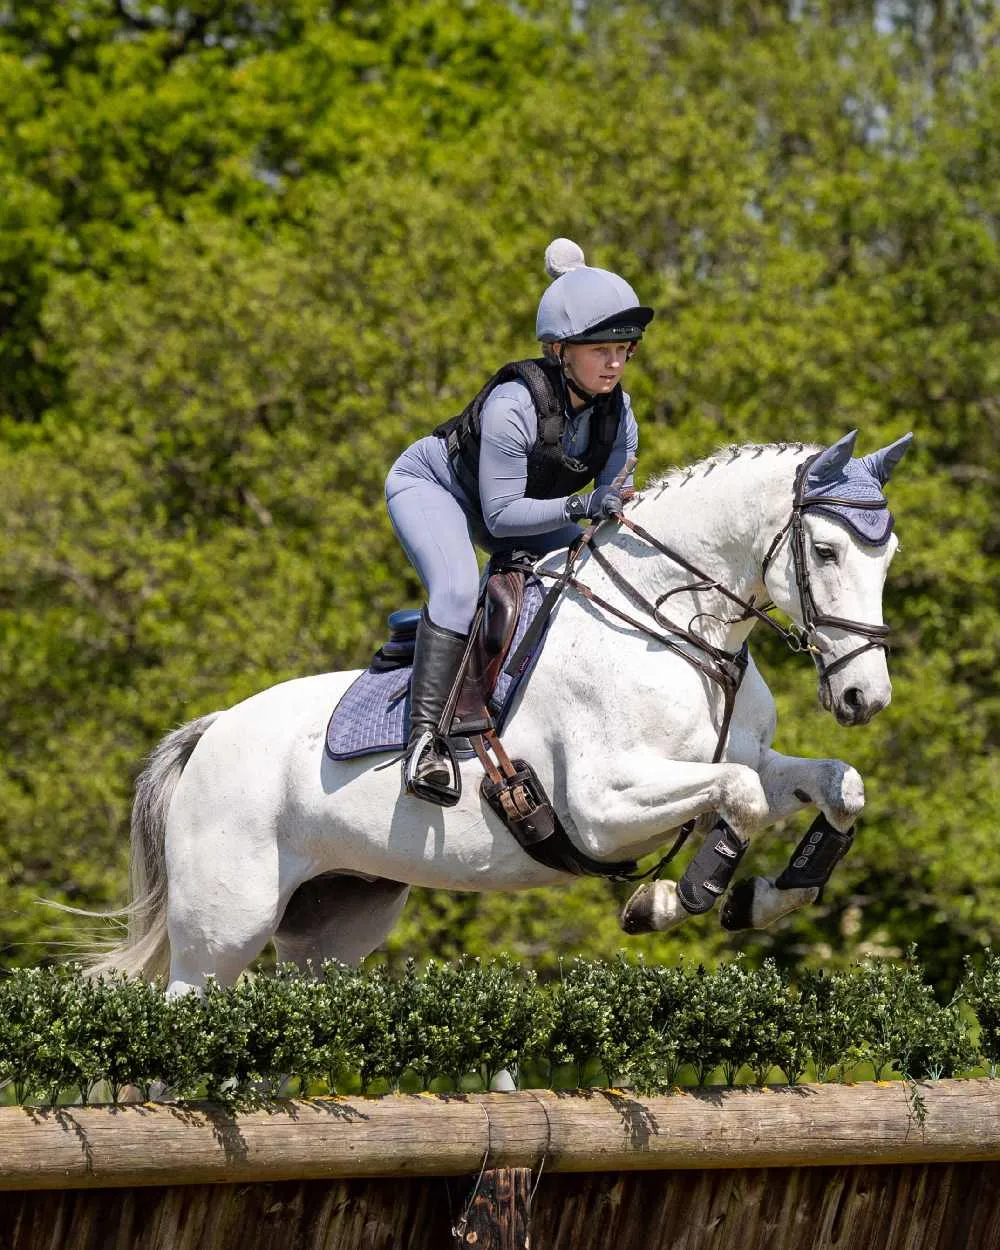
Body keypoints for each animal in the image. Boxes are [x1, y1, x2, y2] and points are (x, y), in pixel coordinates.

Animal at [90, 430, 910, 995]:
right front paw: (669, 902)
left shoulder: (749, 761)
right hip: (225, 928)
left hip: (331, 928)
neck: (675, 628)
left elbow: (838, 786)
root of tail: (210, 731)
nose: (864, 697)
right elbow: (740, 799)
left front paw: (763, 900)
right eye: (828, 552)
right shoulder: (603, 807)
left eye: (889, 554)